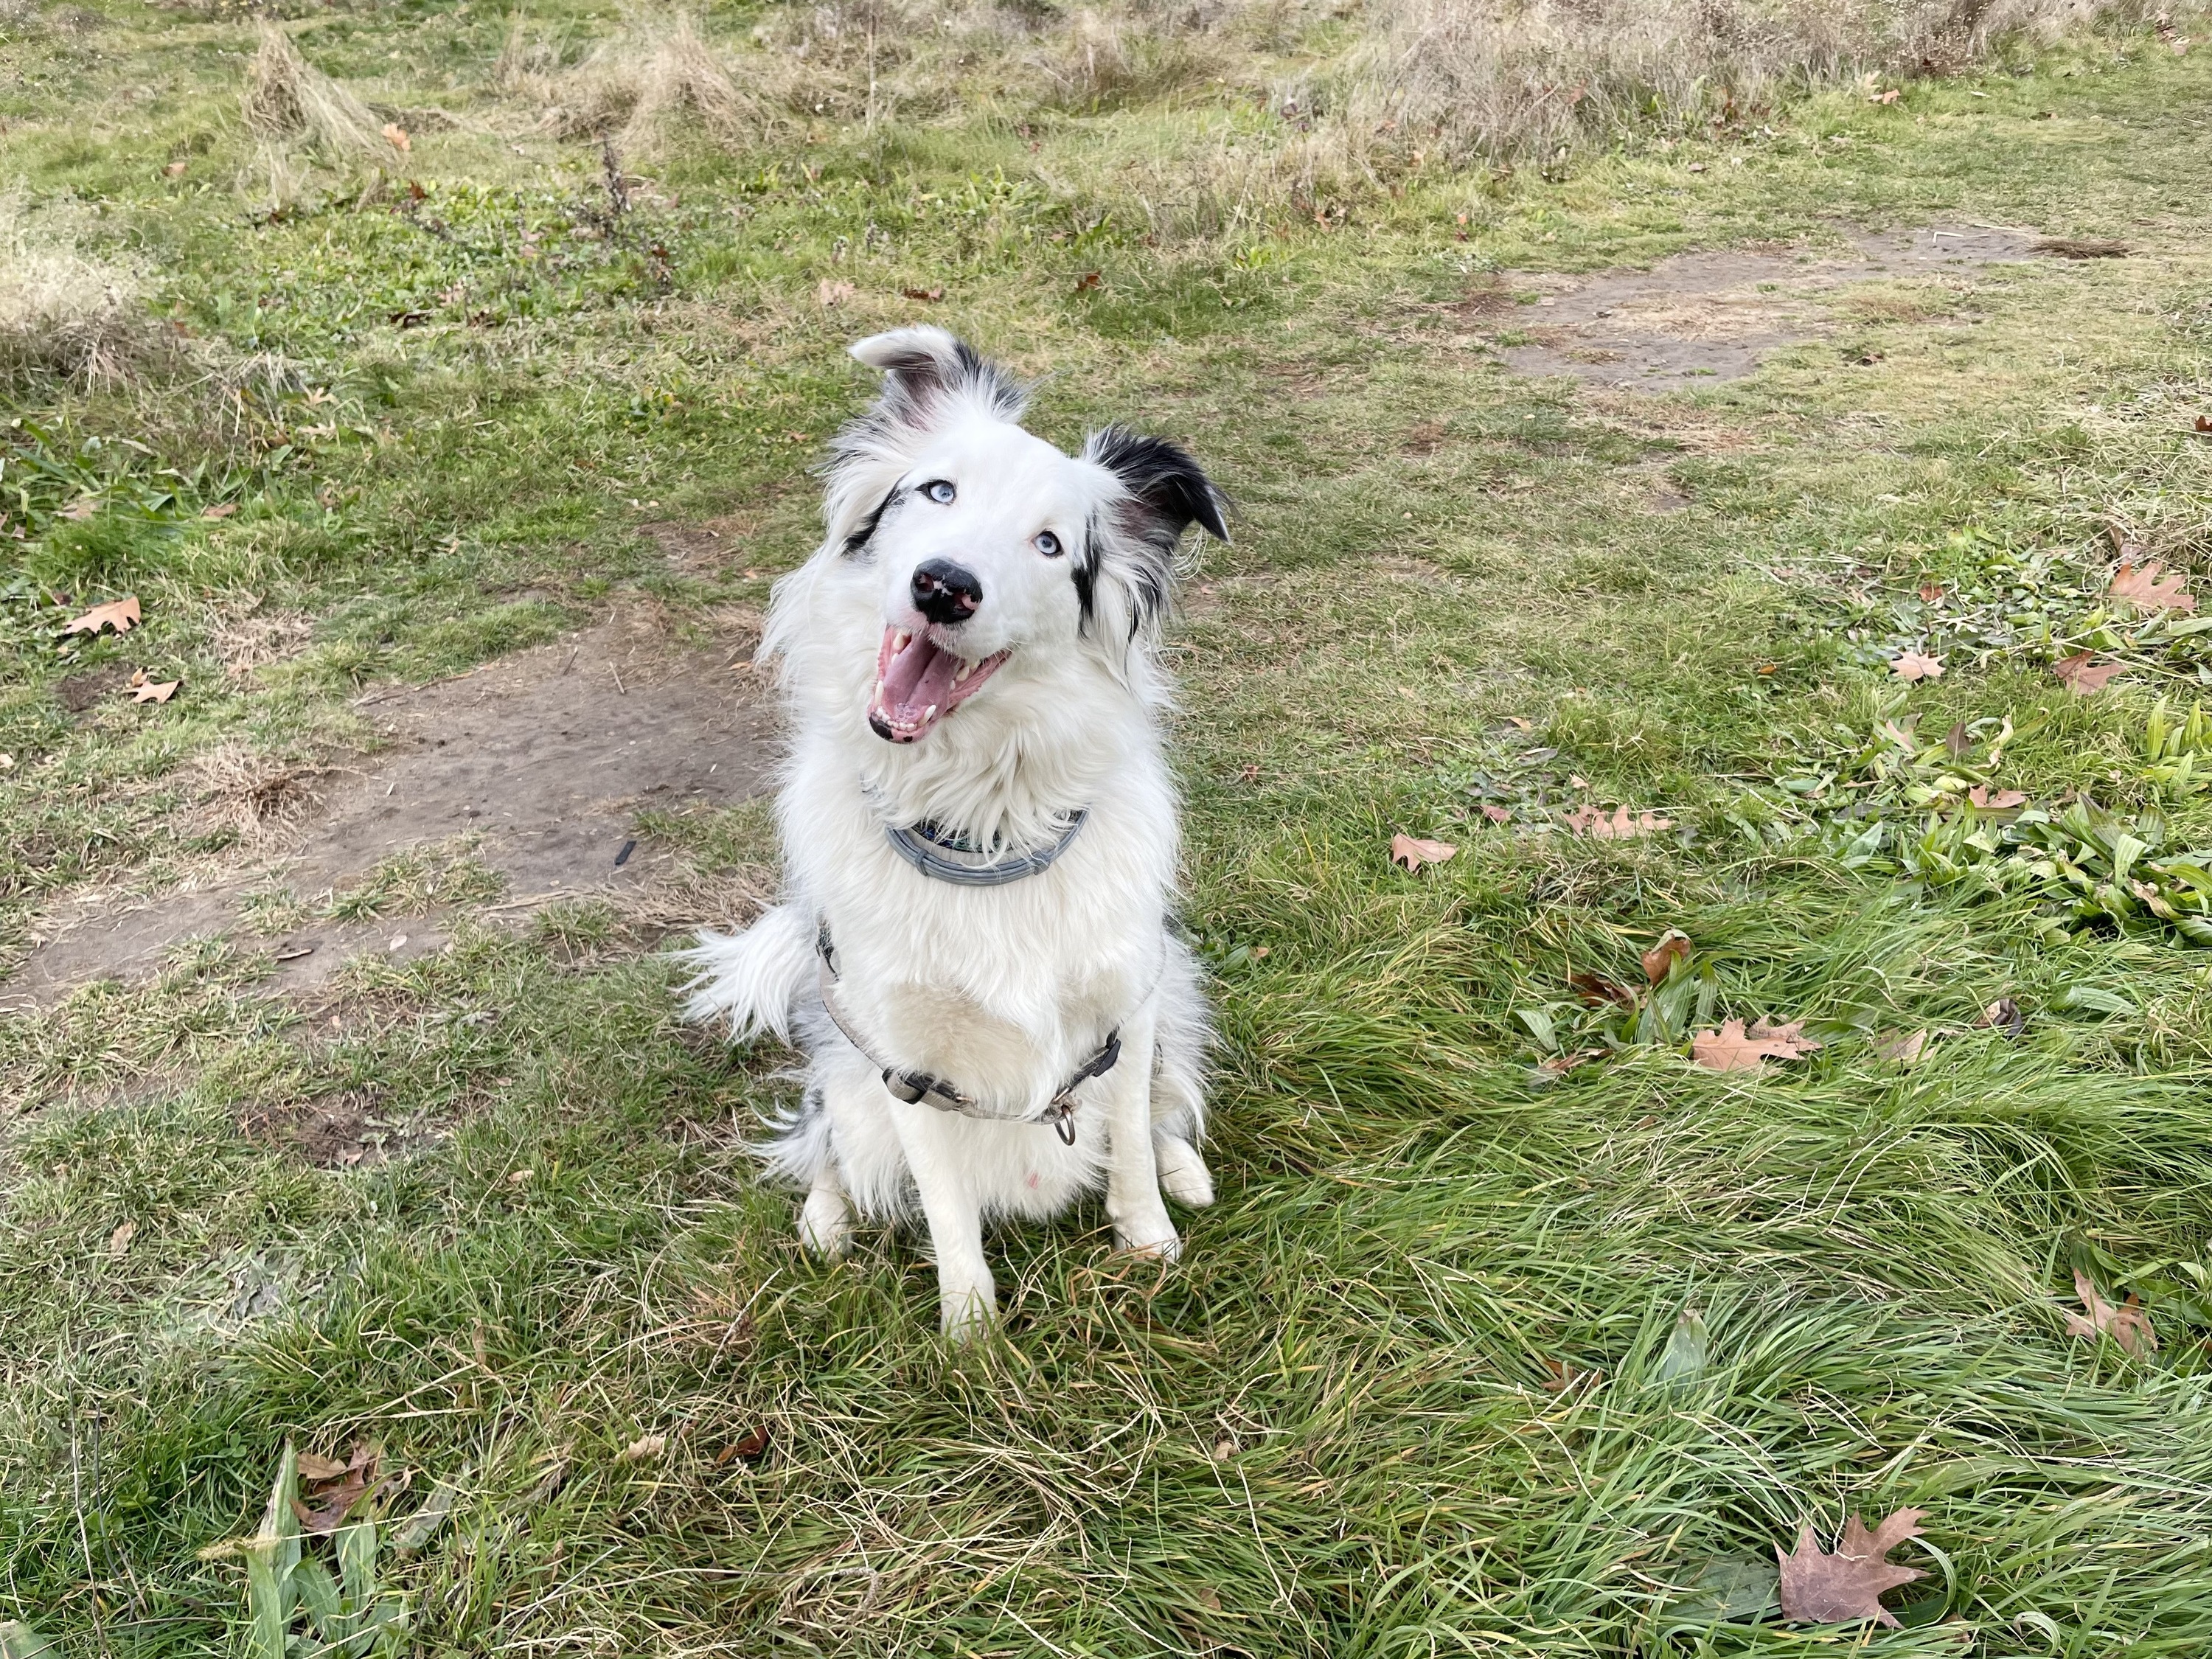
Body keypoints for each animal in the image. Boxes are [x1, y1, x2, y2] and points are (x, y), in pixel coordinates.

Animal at [681, 327, 1230, 1336]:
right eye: (938, 492)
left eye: (1050, 545)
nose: (942, 586)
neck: (982, 830)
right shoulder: (905, 1064)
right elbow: (945, 1210)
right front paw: (970, 1336)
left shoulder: (1124, 1007)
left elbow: (1130, 1136)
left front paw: (1149, 1241)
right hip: (846, 1072)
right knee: (823, 1137)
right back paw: (824, 1219)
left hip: (1171, 987)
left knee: (1165, 1102)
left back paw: (1187, 1169)